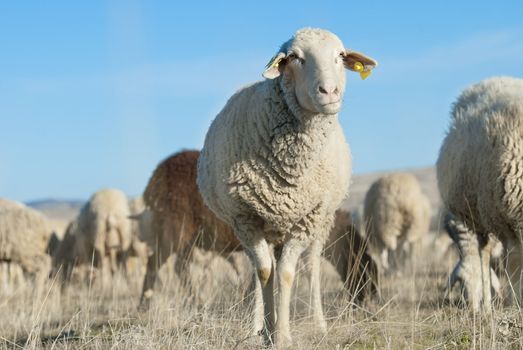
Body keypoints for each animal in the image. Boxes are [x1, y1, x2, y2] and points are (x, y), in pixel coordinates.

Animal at [196, 27, 376, 344]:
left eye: (340, 56)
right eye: (295, 57)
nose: (330, 92)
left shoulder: (306, 220)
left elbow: (287, 274)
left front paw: (282, 334)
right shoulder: (246, 219)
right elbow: (265, 272)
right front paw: (267, 330)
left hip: (321, 221)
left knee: (312, 266)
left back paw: (318, 323)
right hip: (258, 227)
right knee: (260, 268)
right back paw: (254, 324)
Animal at [438, 76, 523, 312]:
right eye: (461, 284)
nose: (471, 308)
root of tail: (495, 79)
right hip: (479, 217)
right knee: (484, 254)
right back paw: (487, 308)